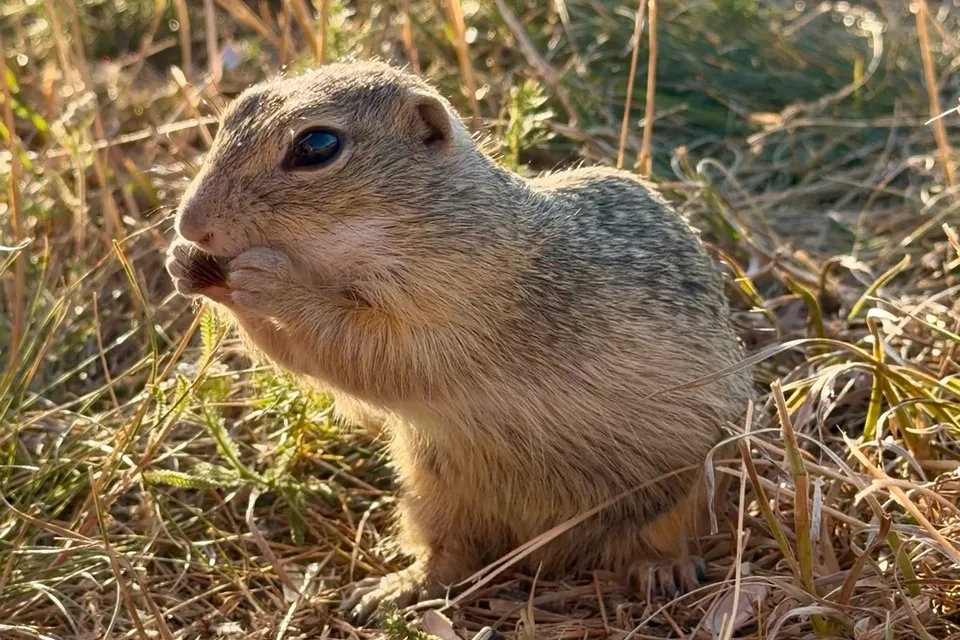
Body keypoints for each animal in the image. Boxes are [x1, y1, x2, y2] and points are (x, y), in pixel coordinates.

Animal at [166, 60, 754, 624]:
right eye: (234, 111)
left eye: (317, 146)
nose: (191, 224)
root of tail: (549, 549)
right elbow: (309, 359)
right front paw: (187, 266)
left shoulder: (453, 309)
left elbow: (361, 352)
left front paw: (269, 279)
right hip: (430, 493)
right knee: (452, 558)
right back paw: (392, 590)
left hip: (691, 490)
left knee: (668, 534)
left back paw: (663, 567)